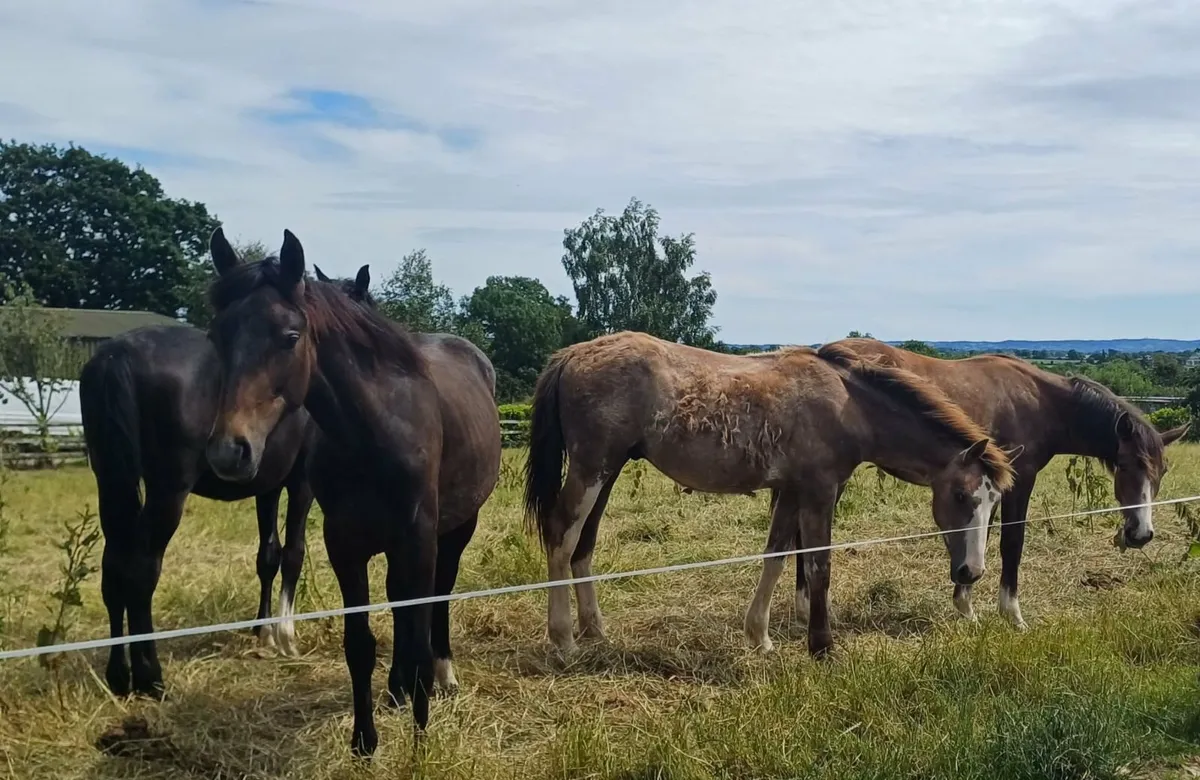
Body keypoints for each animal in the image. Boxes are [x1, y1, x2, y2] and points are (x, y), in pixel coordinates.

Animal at [78, 279, 317, 701]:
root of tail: (116, 354)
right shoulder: (301, 481)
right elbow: (292, 553)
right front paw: (285, 637)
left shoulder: (267, 486)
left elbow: (267, 555)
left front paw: (262, 630)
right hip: (167, 491)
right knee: (141, 570)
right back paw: (150, 677)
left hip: (111, 481)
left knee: (113, 567)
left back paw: (119, 675)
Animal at [202, 228, 501, 757]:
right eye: (218, 335)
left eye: (290, 336)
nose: (228, 451)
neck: (374, 429)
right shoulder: (345, 544)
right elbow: (360, 642)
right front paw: (365, 739)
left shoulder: (418, 538)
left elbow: (418, 626)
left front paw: (420, 741)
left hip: (458, 526)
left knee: (440, 593)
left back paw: (442, 674)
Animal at [522, 331, 1017, 659]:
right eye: (961, 496)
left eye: (994, 502)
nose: (971, 572)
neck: (849, 406)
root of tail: (573, 353)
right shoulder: (819, 491)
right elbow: (818, 565)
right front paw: (822, 646)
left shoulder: (791, 491)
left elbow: (776, 556)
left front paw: (759, 637)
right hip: (591, 469)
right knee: (561, 535)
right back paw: (562, 638)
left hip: (608, 471)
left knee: (583, 543)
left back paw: (594, 629)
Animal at [798, 337, 1191, 629]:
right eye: (1123, 465)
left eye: (1163, 471)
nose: (1141, 534)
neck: (1042, 402)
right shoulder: (1020, 479)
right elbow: (1011, 543)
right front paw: (1012, 615)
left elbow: (978, 536)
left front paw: (966, 606)